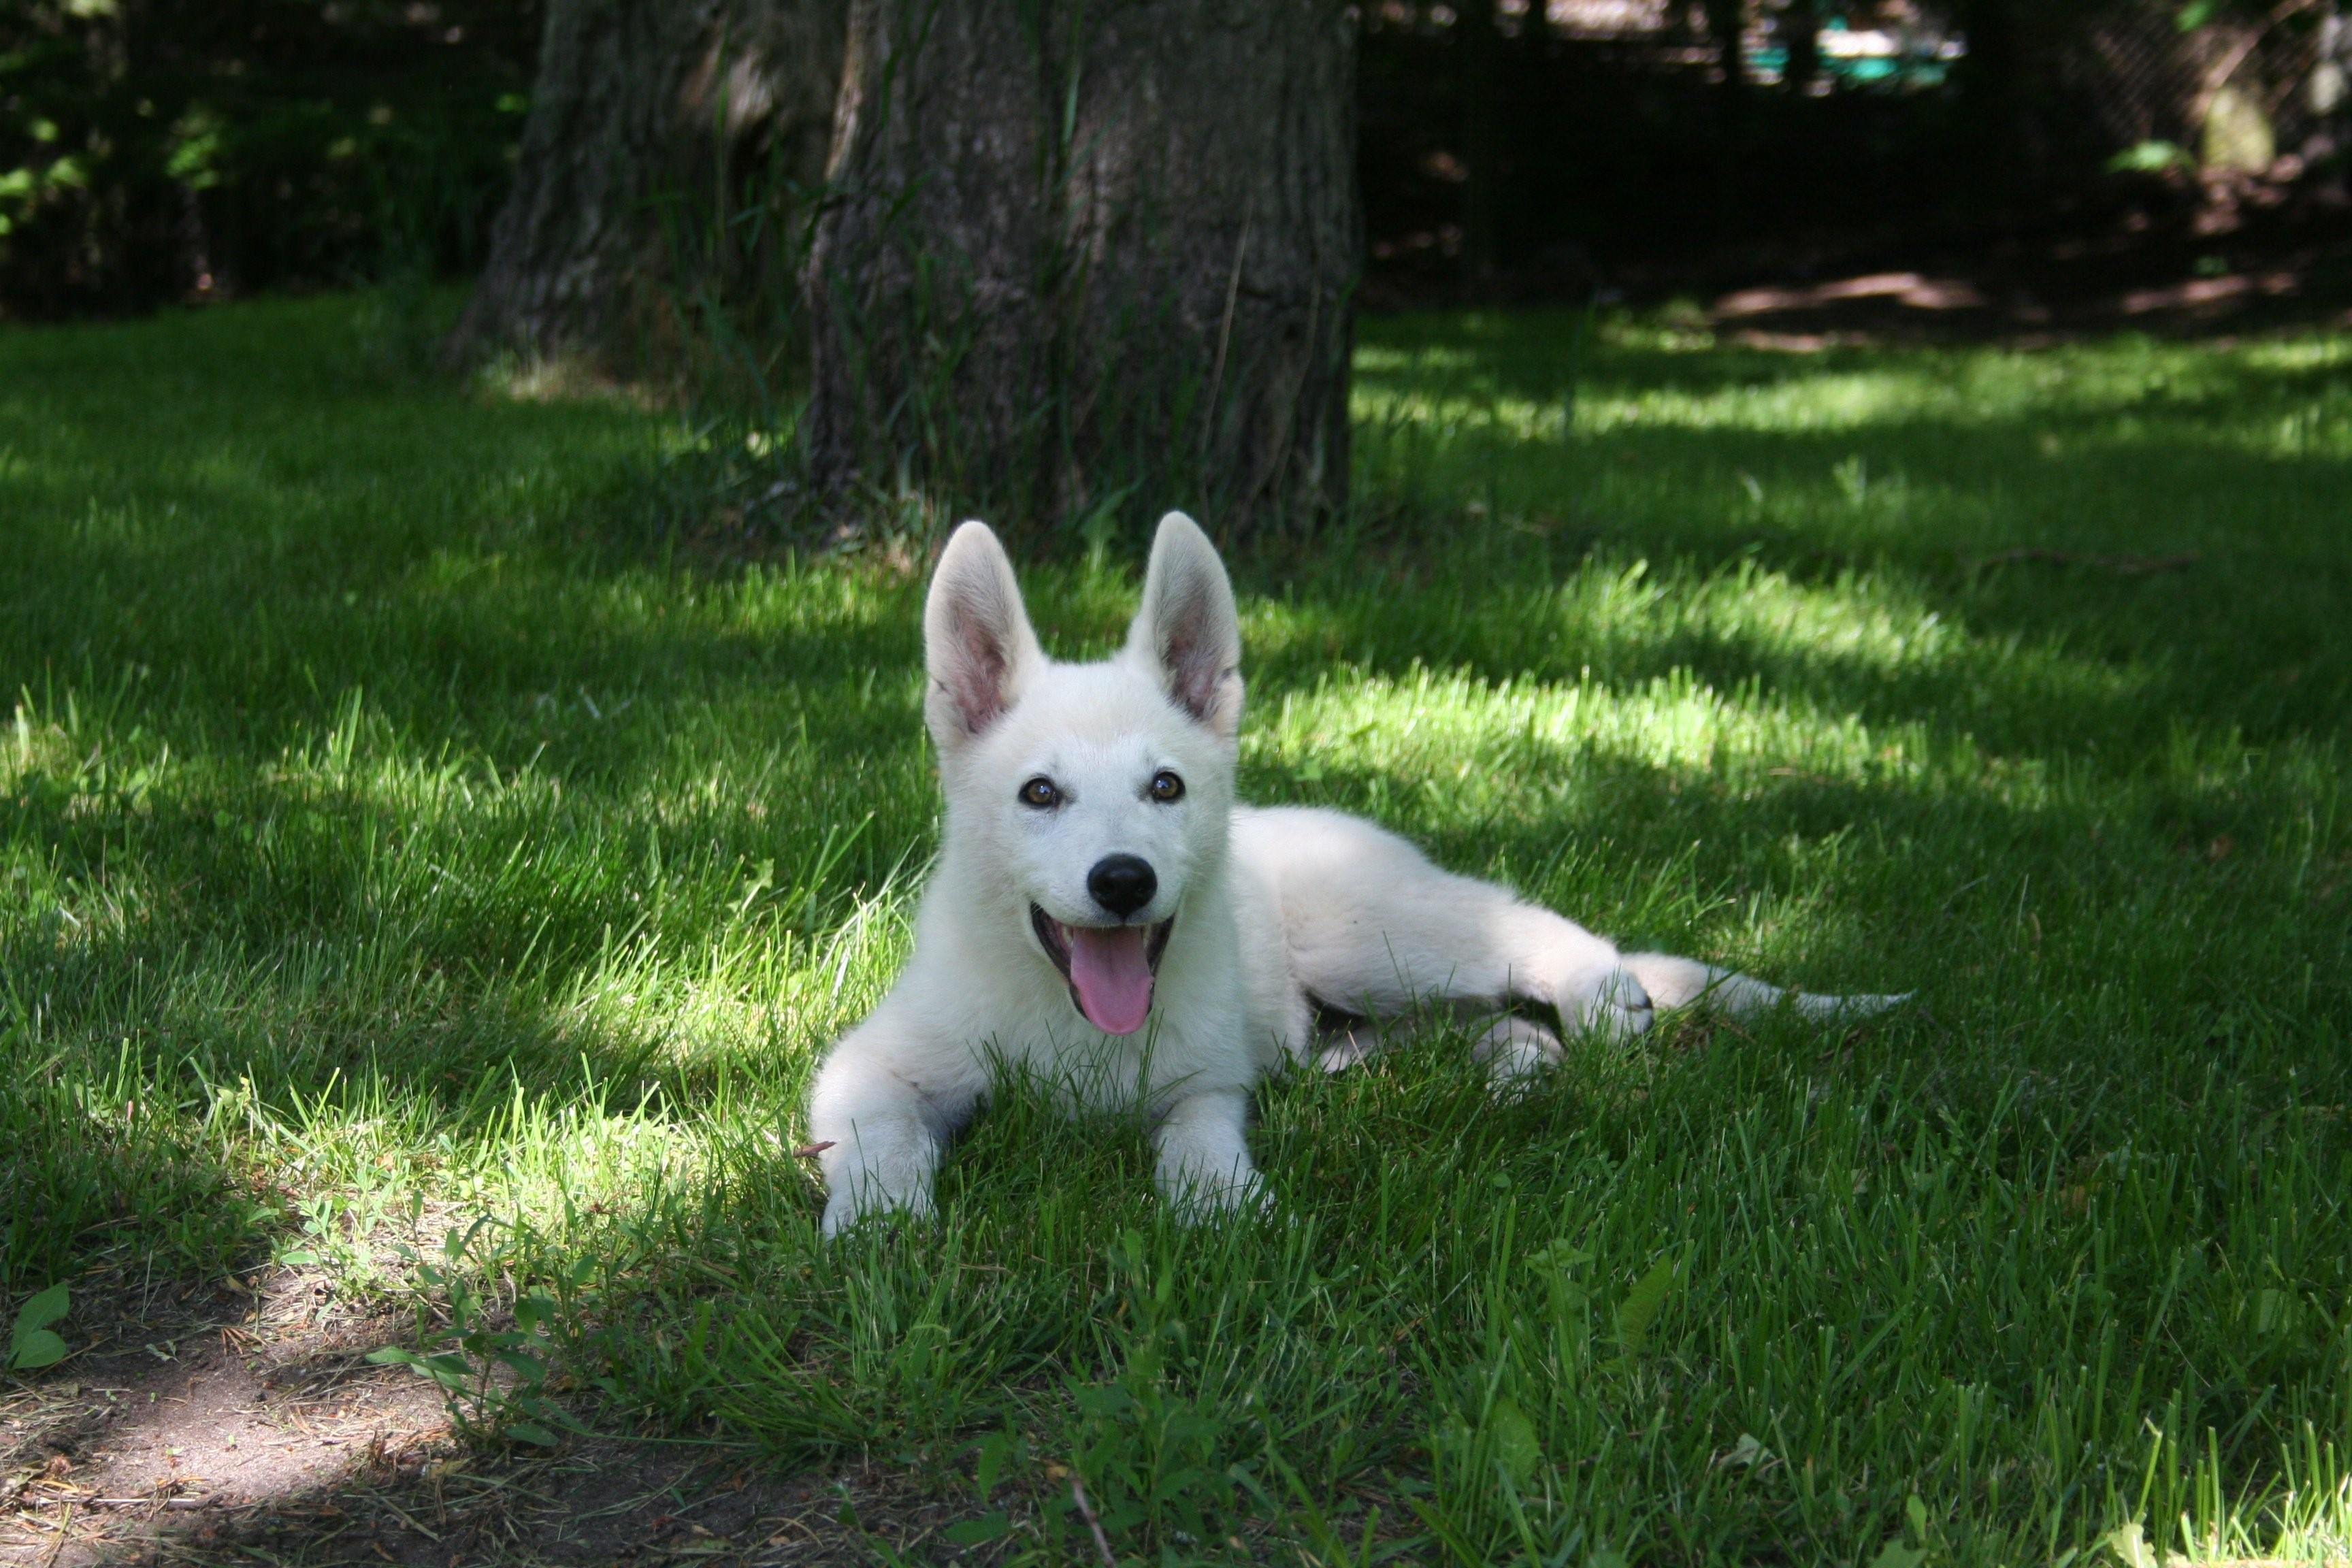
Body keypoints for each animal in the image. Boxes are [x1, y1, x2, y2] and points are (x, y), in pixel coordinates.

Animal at [808, 510, 1891, 1232]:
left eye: (1165, 787)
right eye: (1040, 794)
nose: (1124, 883)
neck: (1070, 1019)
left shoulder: (1206, 1082)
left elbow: (1196, 1140)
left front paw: (1222, 1206)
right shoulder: (866, 1066)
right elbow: (878, 1138)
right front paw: (882, 1223)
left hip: (1370, 937)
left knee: (1533, 931)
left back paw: (1599, 997)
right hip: (1368, 1015)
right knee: (1498, 1029)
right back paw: (1510, 1079)